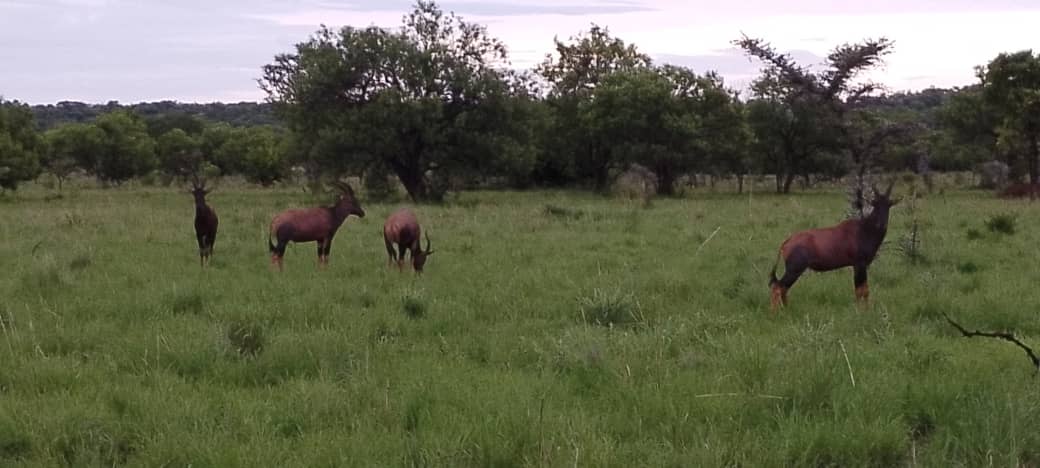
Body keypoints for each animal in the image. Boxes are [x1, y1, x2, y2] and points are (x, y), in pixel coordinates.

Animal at [769, 180, 900, 311]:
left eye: (889, 204)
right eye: (875, 204)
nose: (881, 224)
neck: (863, 229)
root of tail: (787, 242)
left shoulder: (861, 266)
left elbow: (865, 289)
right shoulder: (859, 264)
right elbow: (860, 290)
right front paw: (861, 311)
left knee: (783, 288)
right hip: (794, 269)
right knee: (778, 287)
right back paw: (775, 312)